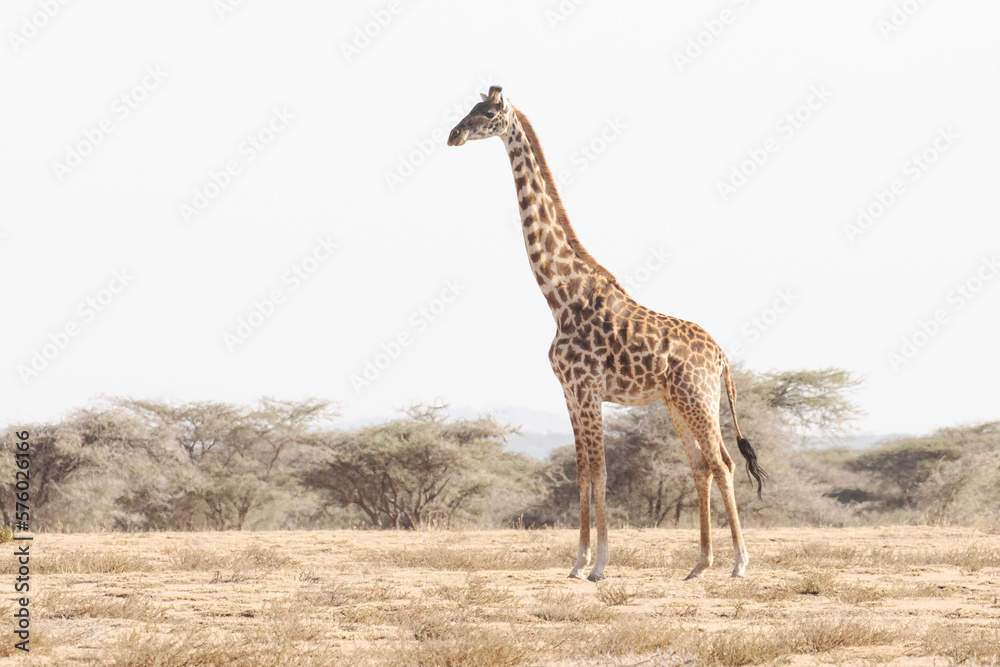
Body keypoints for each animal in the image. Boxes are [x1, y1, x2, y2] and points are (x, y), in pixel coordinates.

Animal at [448, 86, 766, 581]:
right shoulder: (570, 391)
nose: (453, 135)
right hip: (677, 403)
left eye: (487, 113)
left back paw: (738, 564)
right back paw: (699, 565)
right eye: (470, 109)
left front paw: (598, 564)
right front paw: (577, 563)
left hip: (698, 398)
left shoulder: (588, 388)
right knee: (700, 466)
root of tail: (721, 357)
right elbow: (583, 474)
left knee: (724, 462)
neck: (561, 296)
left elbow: (599, 473)